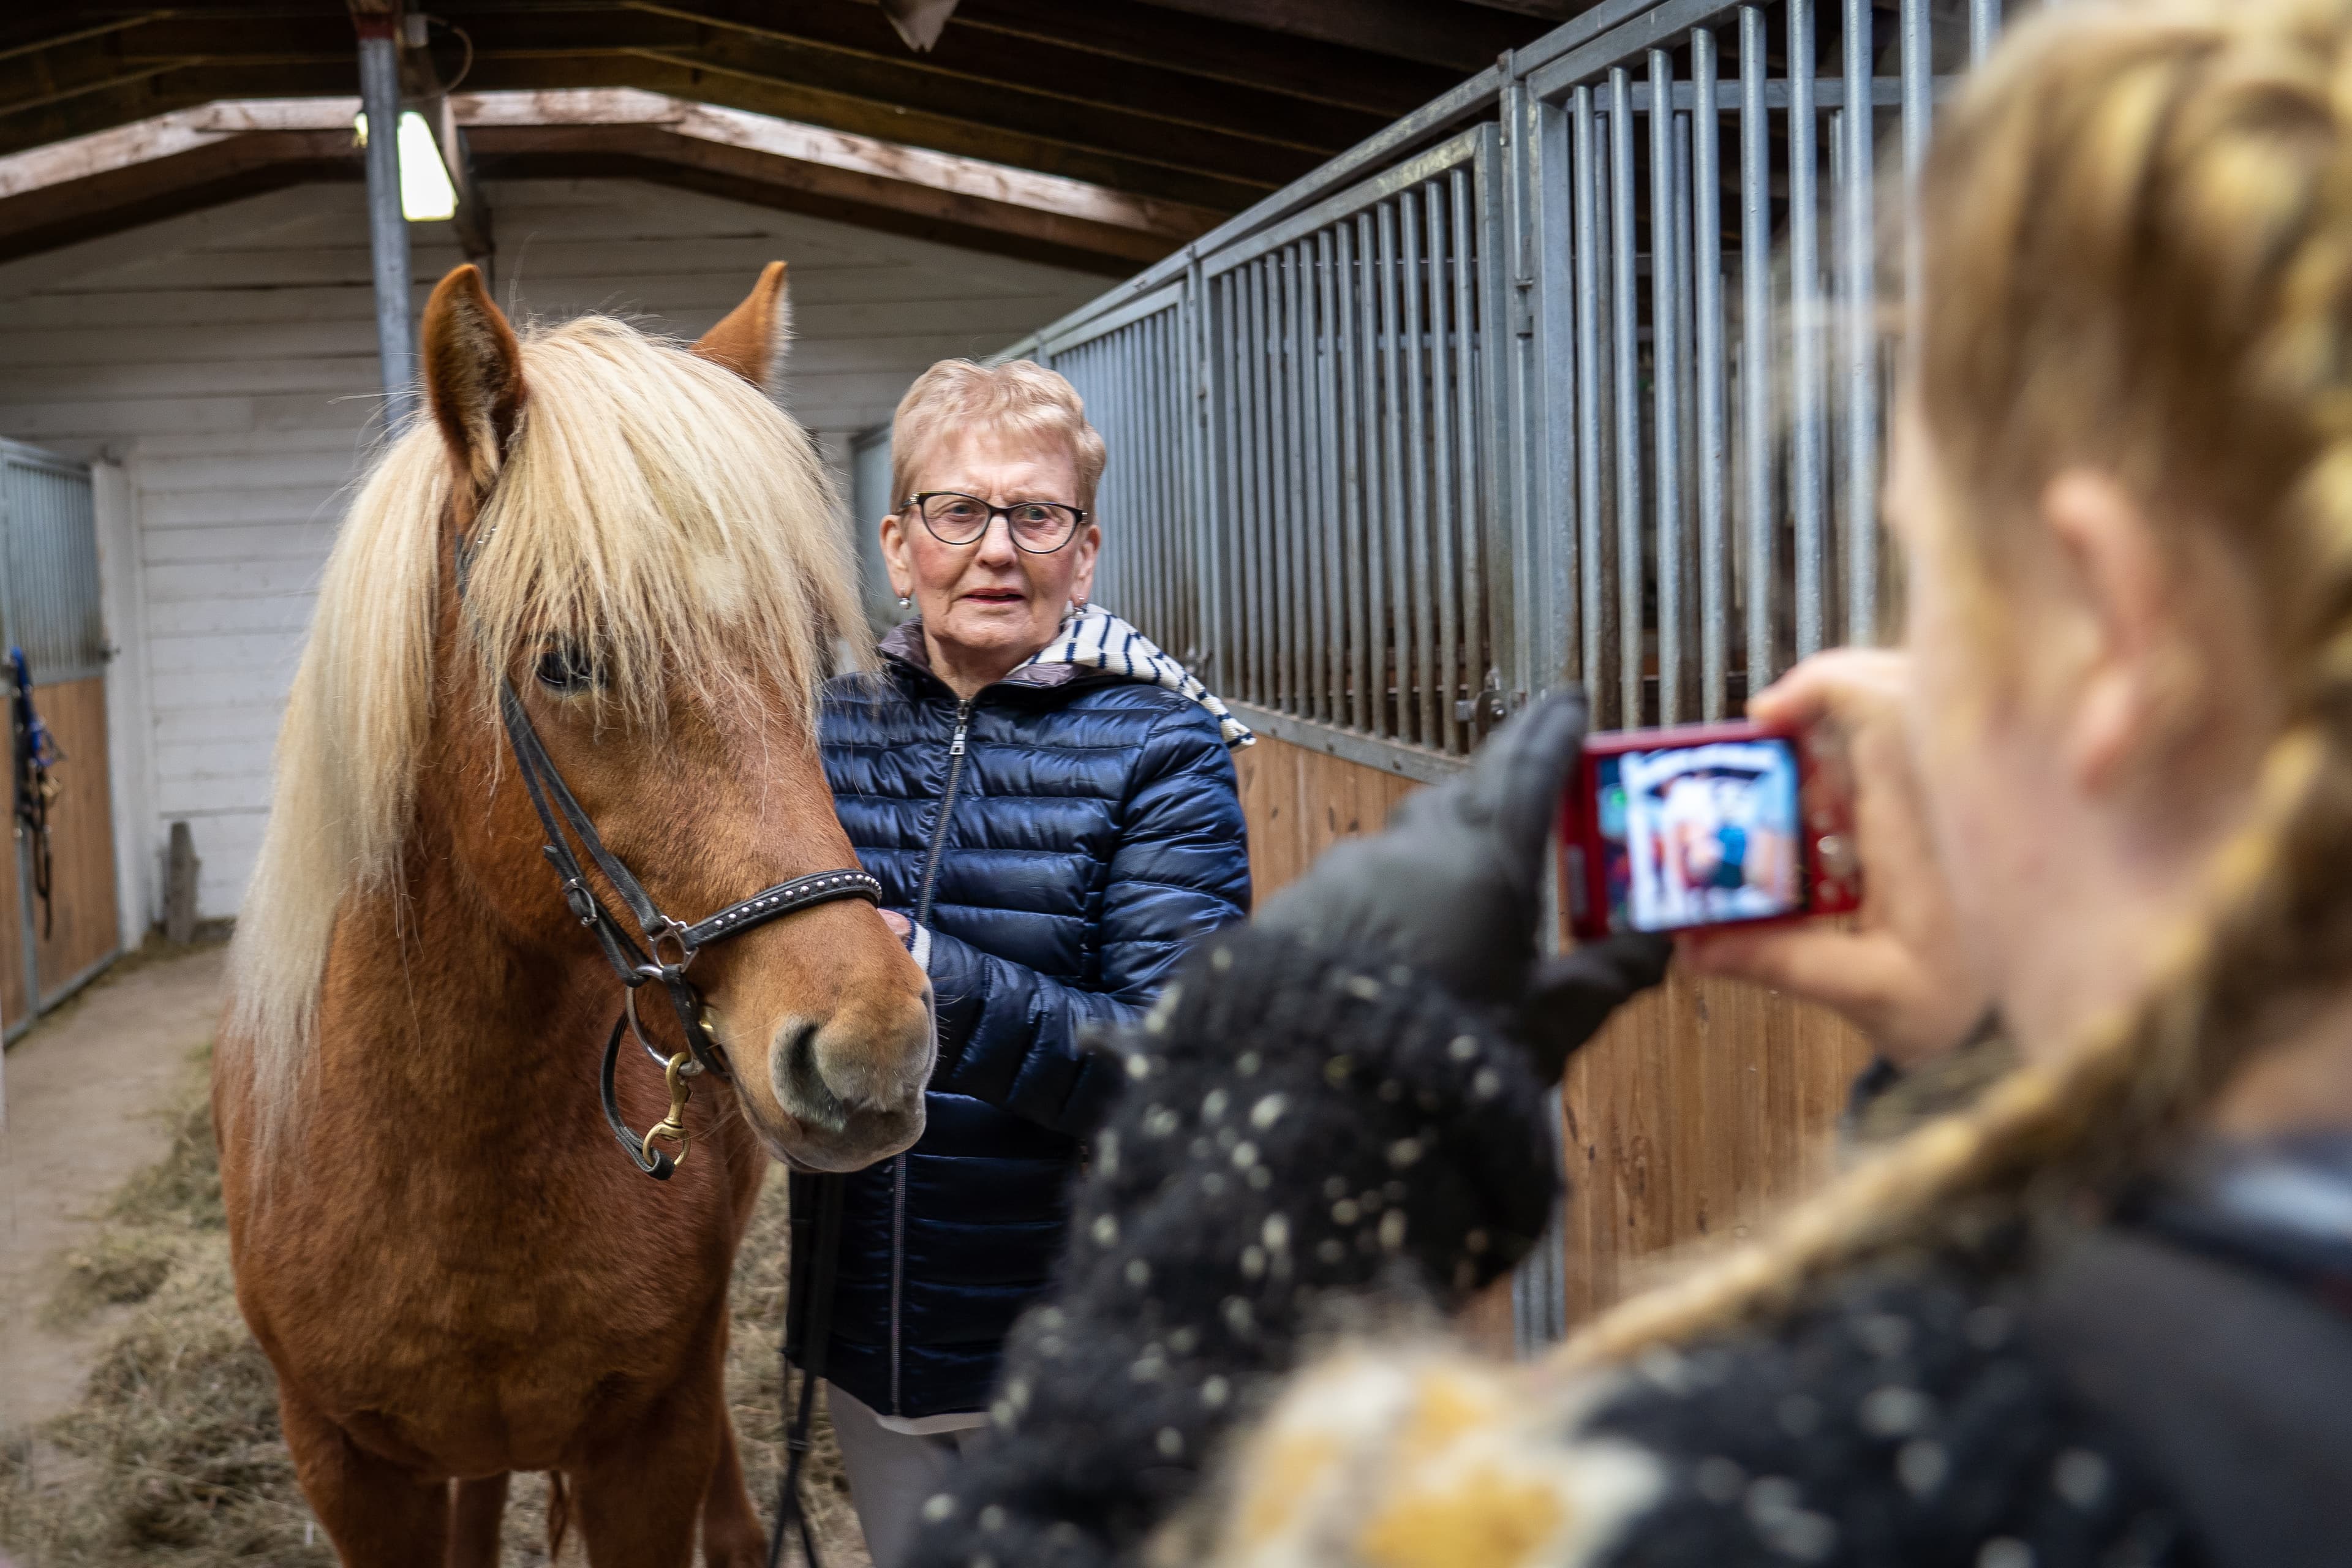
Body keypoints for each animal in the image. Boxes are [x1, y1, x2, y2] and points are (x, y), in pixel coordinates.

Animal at [212, 262, 934, 1567]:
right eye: (567, 662)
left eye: (808, 654)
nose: (876, 1049)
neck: (456, 1166)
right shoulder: (351, 1473)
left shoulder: (646, 1447)